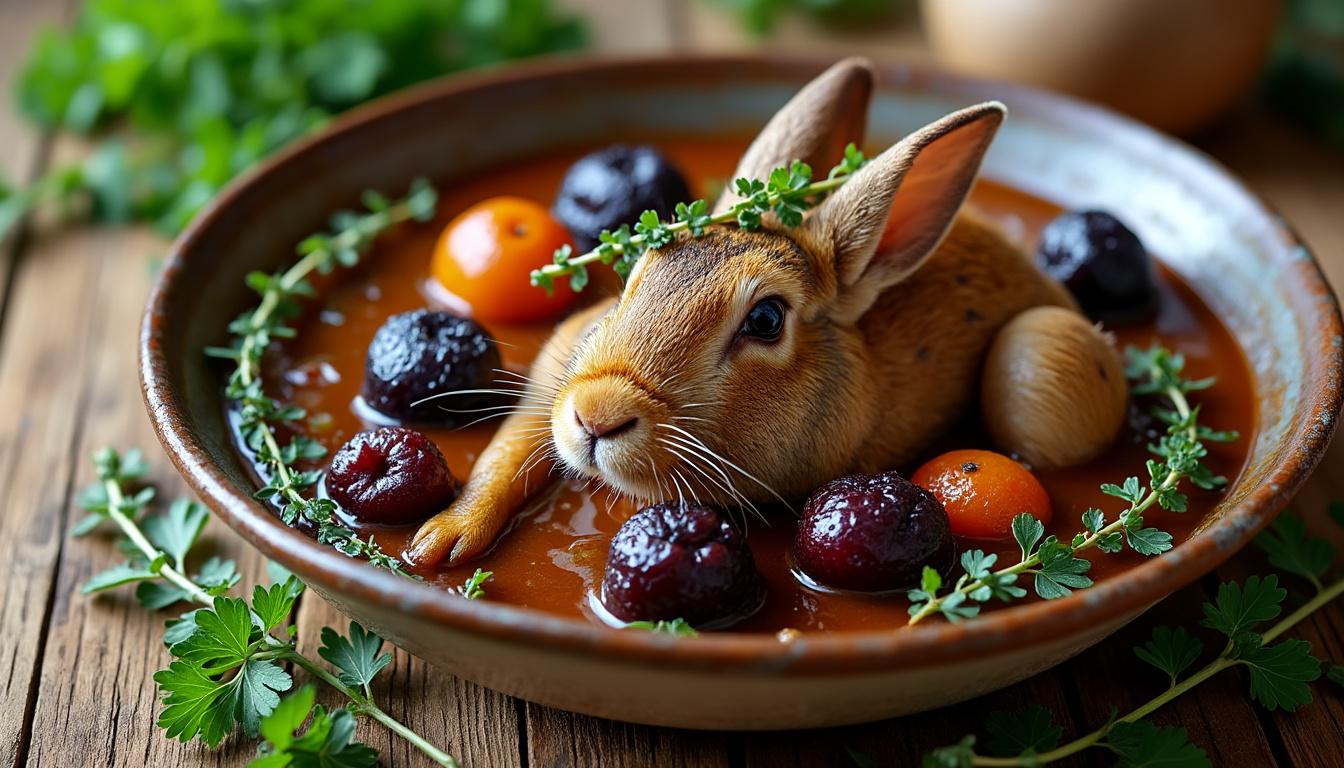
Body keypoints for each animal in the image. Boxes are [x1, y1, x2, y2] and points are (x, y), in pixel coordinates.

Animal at [408, 57, 1127, 567]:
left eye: (766, 320)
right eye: (640, 265)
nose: (596, 416)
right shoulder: (559, 362)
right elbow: (511, 448)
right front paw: (439, 541)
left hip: (1044, 353)